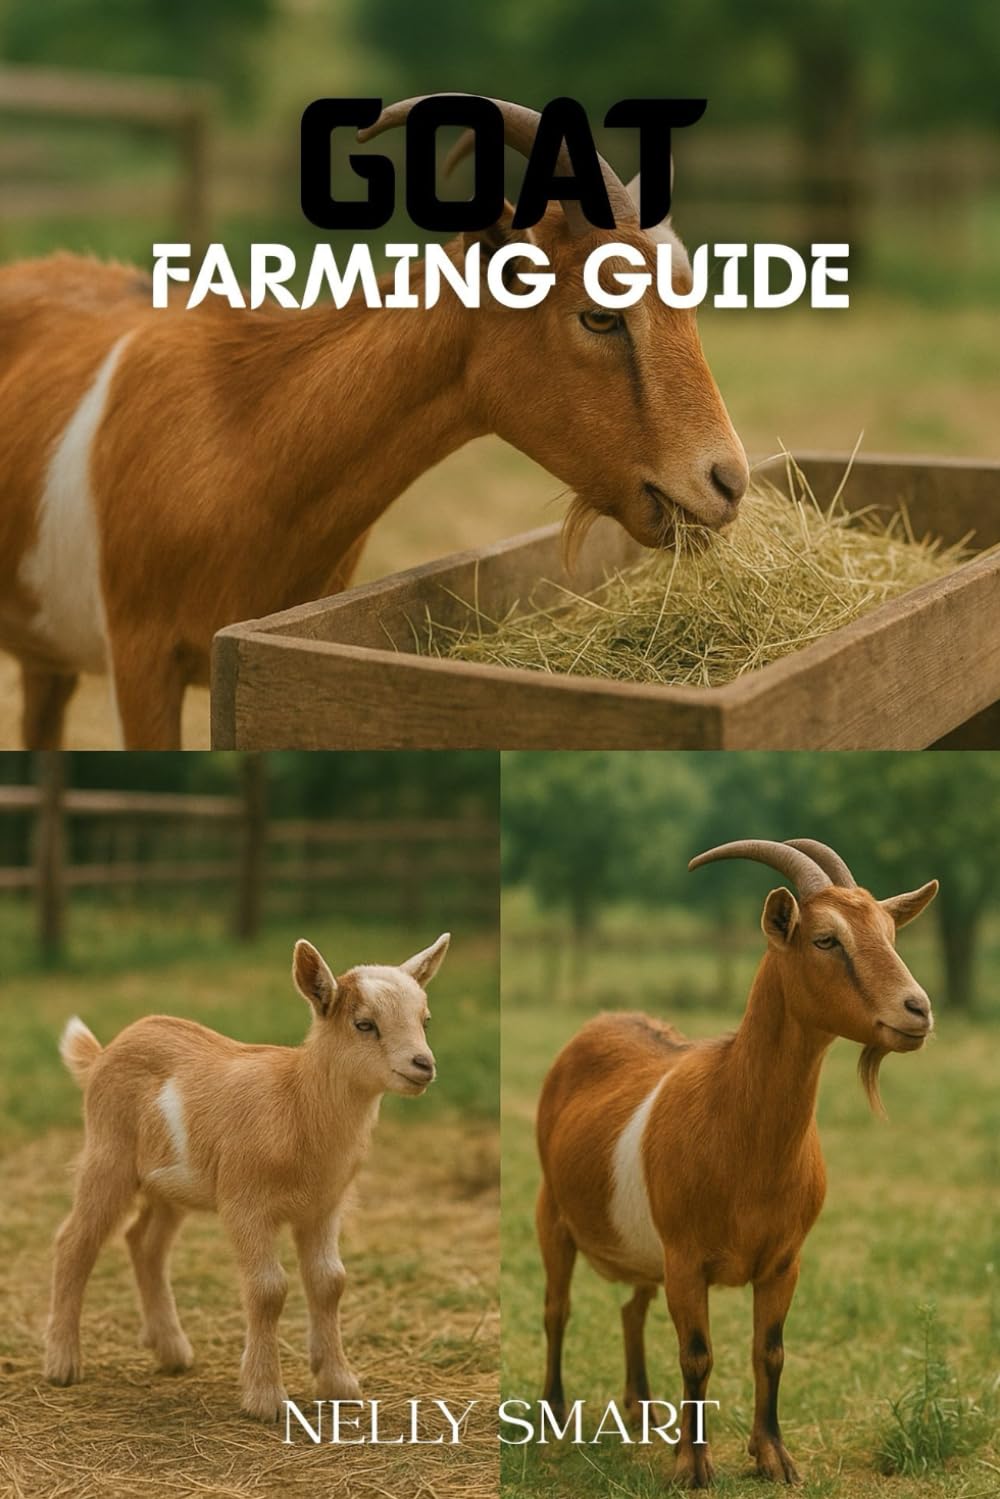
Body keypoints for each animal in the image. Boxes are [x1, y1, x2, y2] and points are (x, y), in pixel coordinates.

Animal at [43, 931, 449, 1421]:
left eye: (425, 1021)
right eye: (364, 1024)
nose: (423, 1064)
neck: (296, 1102)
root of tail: (103, 1054)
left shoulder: (324, 1207)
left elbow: (330, 1282)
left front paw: (339, 1383)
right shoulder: (245, 1203)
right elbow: (269, 1289)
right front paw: (265, 1397)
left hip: (171, 1186)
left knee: (145, 1243)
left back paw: (172, 1351)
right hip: (108, 1155)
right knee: (75, 1241)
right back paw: (63, 1362)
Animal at [535, 839, 937, 1487]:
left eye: (890, 934)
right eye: (826, 940)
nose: (918, 1010)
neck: (739, 1130)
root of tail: (600, 1021)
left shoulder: (783, 1261)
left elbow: (769, 1351)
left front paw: (773, 1456)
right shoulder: (685, 1259)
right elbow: (697, 1354)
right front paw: (692, 1466)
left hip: (644, 1250)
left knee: (630, 1308)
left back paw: (642, 1411)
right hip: (552, 1211)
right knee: (557, 1310)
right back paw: (553, 1414)